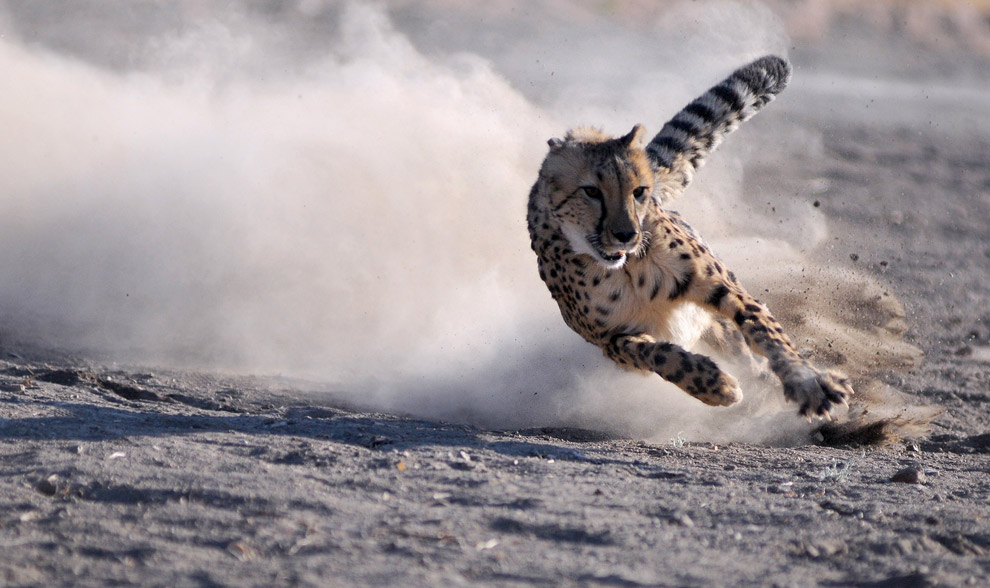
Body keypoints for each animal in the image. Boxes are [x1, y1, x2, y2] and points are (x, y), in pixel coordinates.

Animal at [526, 56, 852, 420]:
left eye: (639, 191)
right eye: (592, 192)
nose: (627, 235)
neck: (624, 269)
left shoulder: (724, 289)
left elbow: (765, 331)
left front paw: (808, 384)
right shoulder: (612, 340)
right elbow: (661, 355)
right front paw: (714, 384)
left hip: (723, 331)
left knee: (750, 361)